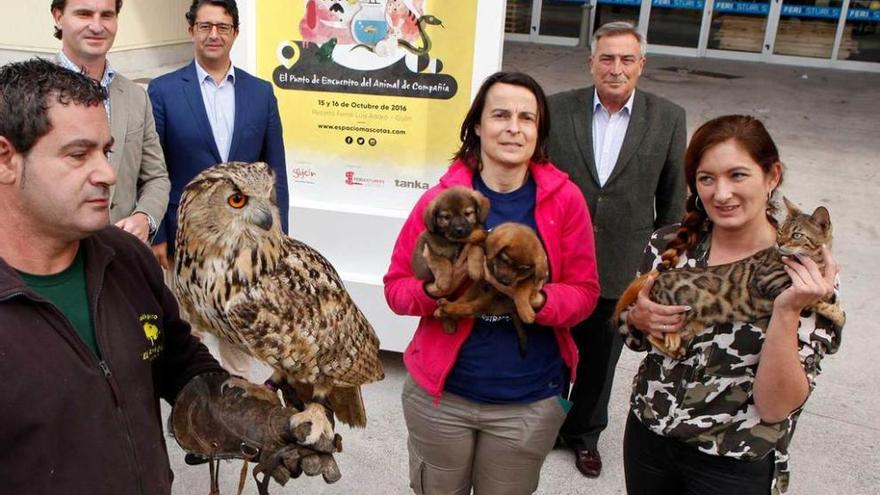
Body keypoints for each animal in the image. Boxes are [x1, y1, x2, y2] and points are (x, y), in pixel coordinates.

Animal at [434, 224, 552, 356]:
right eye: (505, 260)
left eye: (522, 269)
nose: (505, 282)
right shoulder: (487, 242)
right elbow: (480, 234)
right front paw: (457, 236)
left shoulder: (531, 278)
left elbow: (521, 290)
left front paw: (525, 312)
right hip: (477, 288)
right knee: (463, 300)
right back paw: (444, 311)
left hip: (489, 297)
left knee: (472, 307)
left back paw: (447, 309)